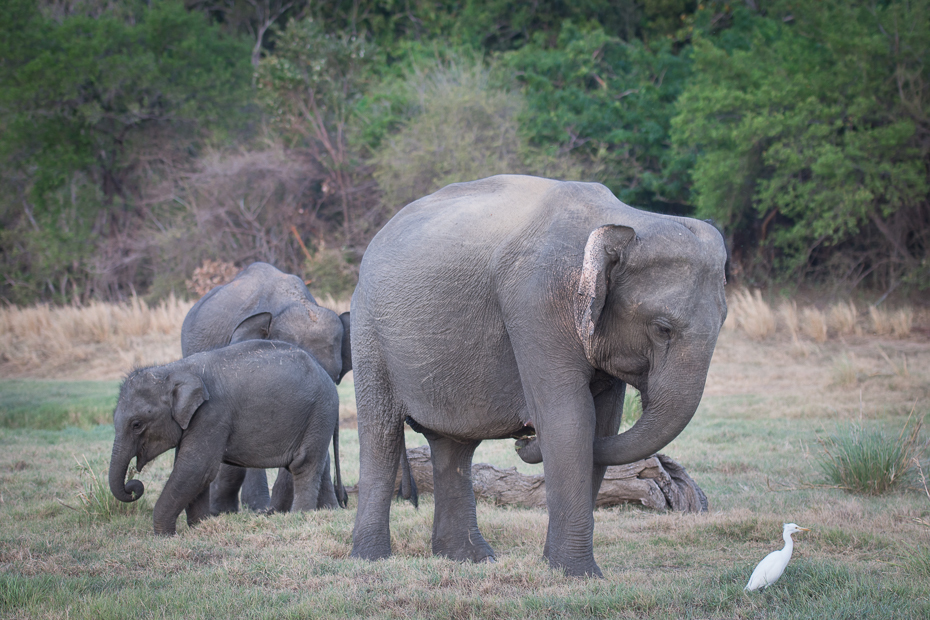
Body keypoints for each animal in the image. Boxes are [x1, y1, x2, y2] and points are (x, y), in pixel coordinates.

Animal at [107, 340, 342, 532]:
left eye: (137, 425)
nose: (134, 486)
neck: (173, 369)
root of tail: (328, 378)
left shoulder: (211, 414)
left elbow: (196, 468)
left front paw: (165, 535)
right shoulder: (194, 419)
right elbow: (193, 471)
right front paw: (199, 526)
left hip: (320, 410)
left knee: (304, 463)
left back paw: (300, 516)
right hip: (317, 418)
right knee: (320, 462)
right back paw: (328, 512)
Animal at [352, 173, 728, 576]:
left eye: (723, 322)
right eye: (662, 328)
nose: (522, 441)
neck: (624, 220)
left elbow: (603, 424)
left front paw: (562, 568)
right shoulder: (537, 300)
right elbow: (571, 420)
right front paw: (577, 575)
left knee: (453, 445)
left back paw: (469, 558)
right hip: (368, 333)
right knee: (381, 433)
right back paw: (371, 558)